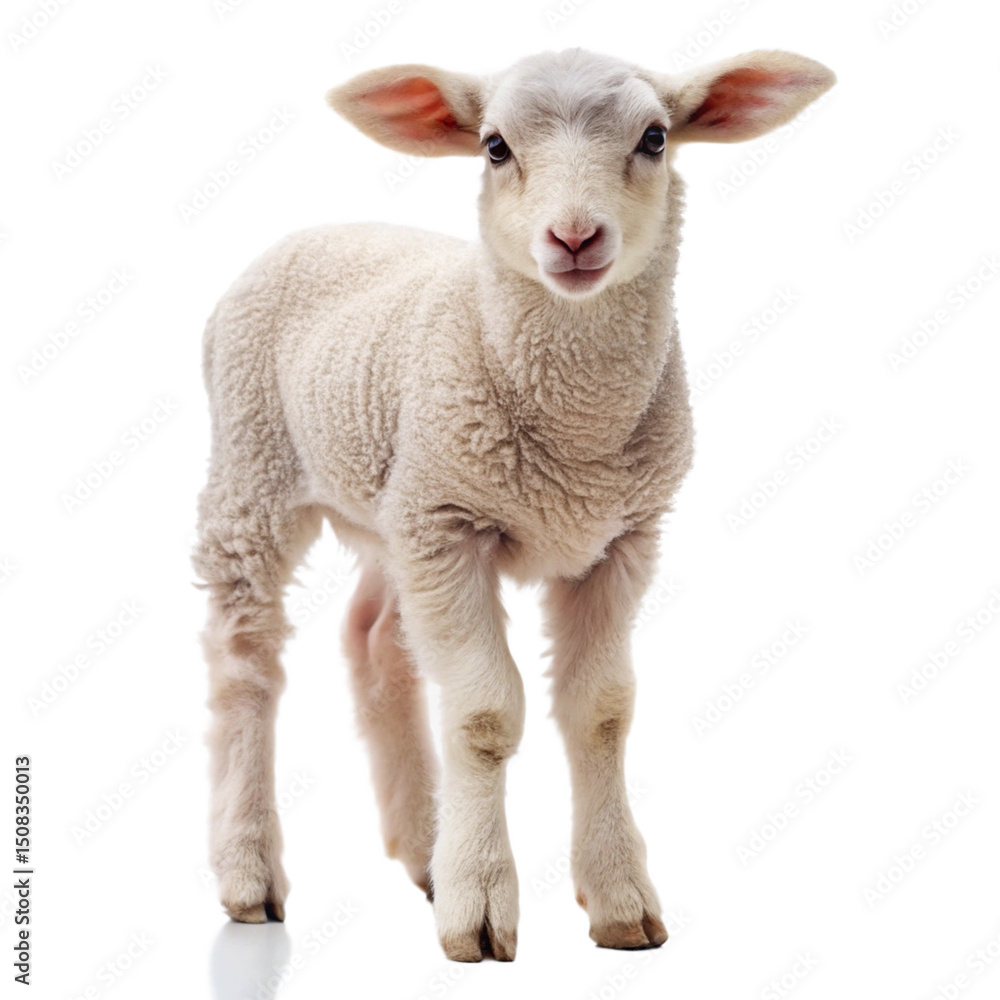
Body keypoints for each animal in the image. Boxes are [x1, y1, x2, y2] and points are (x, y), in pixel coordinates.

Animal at [193, 46, 835, 961]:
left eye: (655, 137)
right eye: (494, 147)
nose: (574, 237)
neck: (576, 433)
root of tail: (311, 231)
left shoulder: (617, 539)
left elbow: (601, 712)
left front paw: (620, 899)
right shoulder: (453, 528)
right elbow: (484, 714)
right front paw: (480, 907)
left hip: (397, 499)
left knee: (376, 641)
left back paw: (427, 848)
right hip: (259, 473)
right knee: (245, 659)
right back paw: (250, 874)